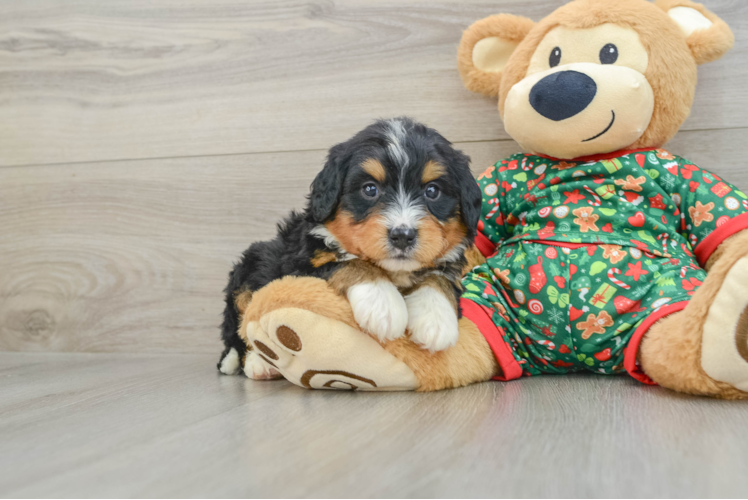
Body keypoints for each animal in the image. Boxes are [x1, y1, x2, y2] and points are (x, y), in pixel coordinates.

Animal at [219, 116, 482, 376]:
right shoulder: (299, 267)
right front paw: (383, 304)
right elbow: (350, 262)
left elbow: (439, 278)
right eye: (369, 189)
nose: (402, 235)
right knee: (238, 328)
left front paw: (436, 319)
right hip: (249, 269)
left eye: (432, 191)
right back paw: (257, 362)